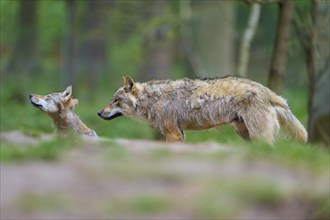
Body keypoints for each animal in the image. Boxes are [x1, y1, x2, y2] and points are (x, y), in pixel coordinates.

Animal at [96, 76, 308, 144]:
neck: (152, 99)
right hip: (246, 135)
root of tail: (268, 91)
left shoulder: (173, 135)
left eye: (116, 101)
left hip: (258, 136)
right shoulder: (180, 135)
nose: (99, 113)